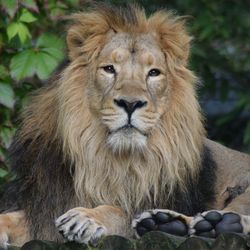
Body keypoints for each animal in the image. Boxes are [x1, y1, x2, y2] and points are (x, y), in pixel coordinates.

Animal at [0, 3, 250, 248]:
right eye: (109, 69)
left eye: (153, 73)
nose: (130, 104)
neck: (110, 159)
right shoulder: (42, 209)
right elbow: (10, 216)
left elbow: (121, 211)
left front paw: (87, 217)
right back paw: (165, 223)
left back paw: (217, 224)